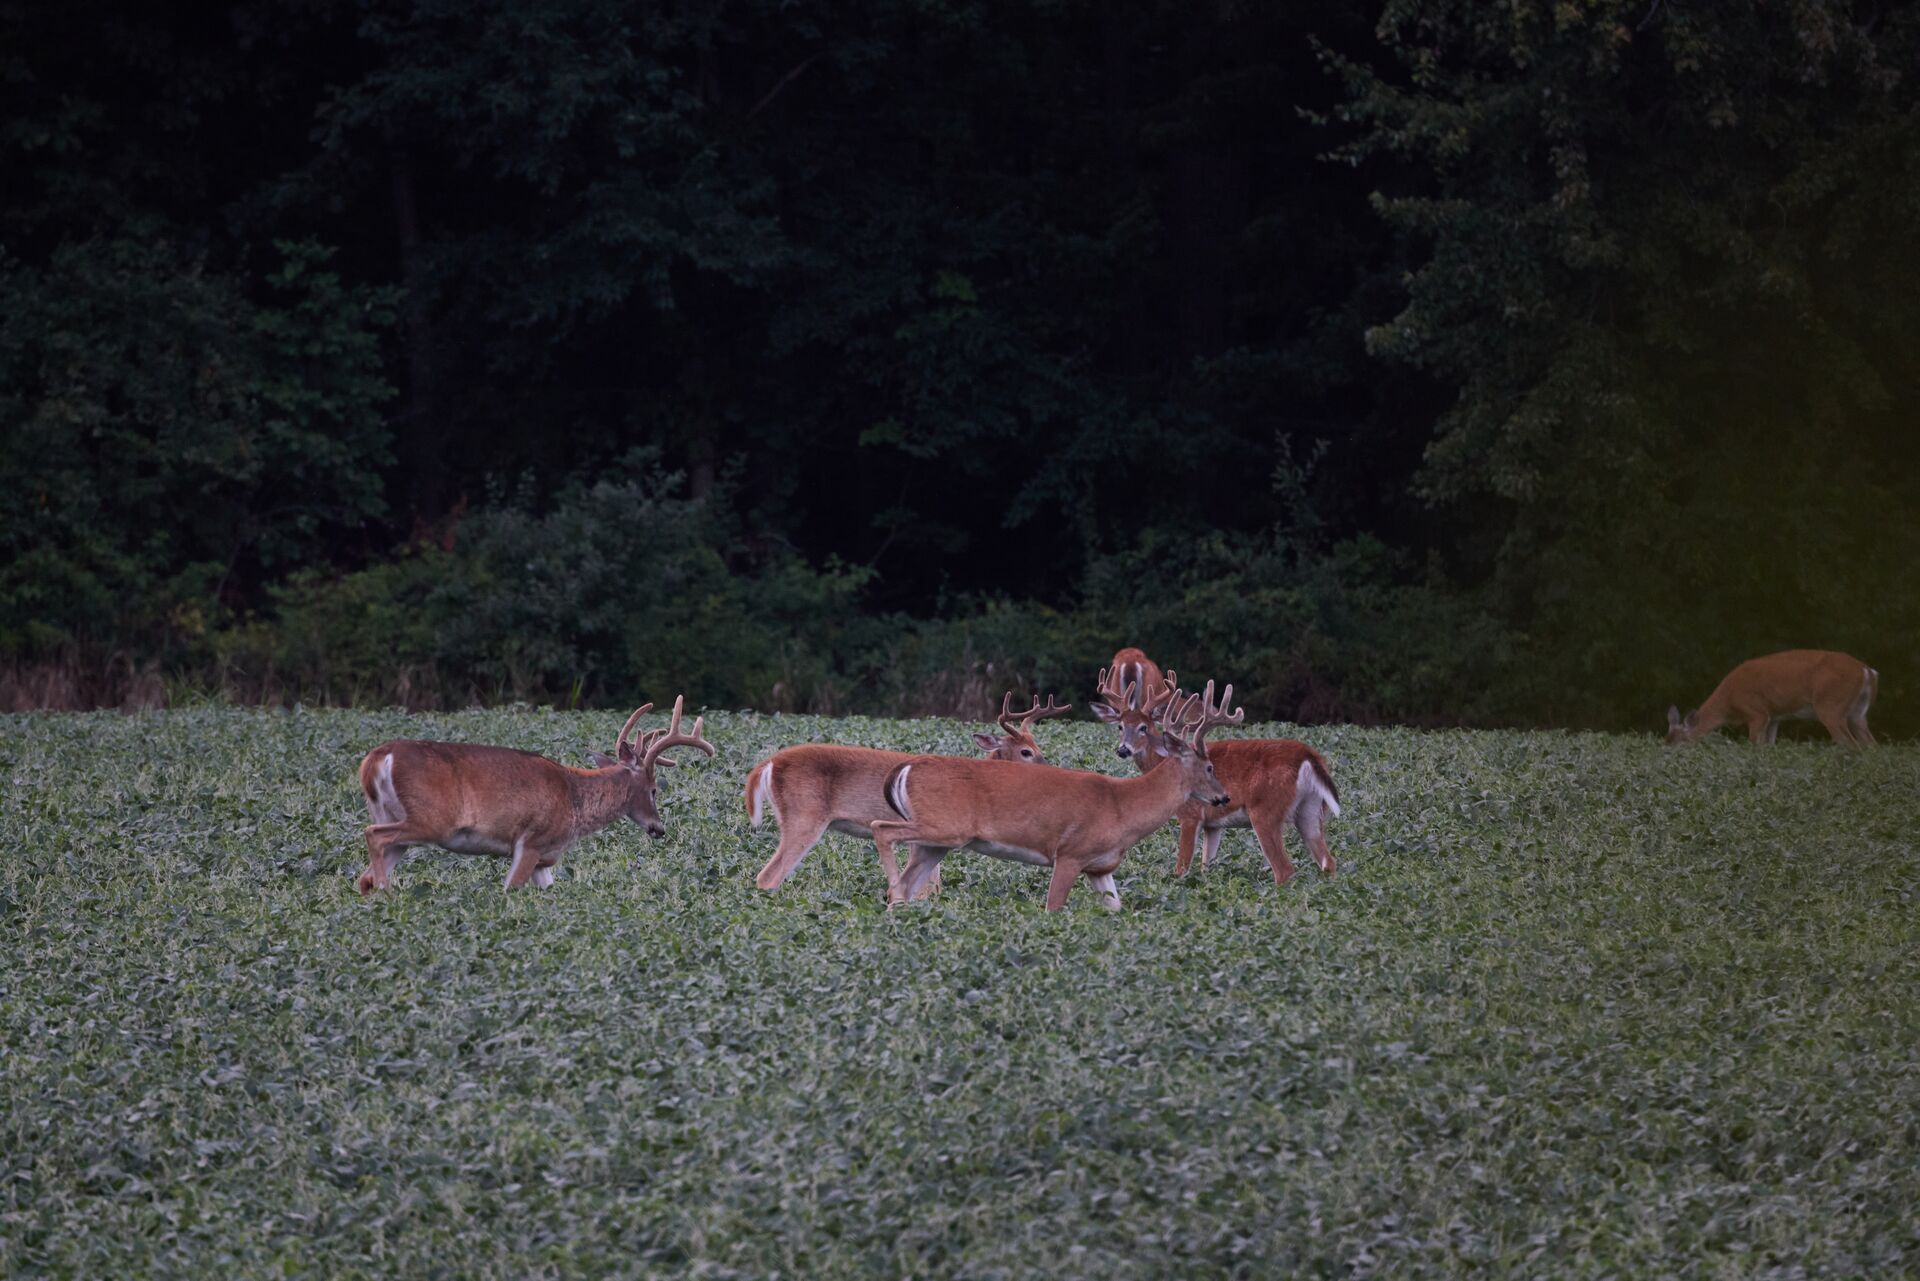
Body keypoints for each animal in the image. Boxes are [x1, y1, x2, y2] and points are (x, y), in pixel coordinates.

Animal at [356, 696, 715, 894]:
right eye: (654, 790)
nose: (659, 828)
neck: (574, 798)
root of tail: (376, 759)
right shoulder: (530, 841)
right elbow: (510, 889)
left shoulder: (545, 858)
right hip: (430, 820)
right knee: (373, 835)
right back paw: (387, 893)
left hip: (395, 821)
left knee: (365, 875)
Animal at [746, 692, 1072, 896]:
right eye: (1026, 752)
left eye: (1039, 747)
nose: (1053, 771)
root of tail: (768, 764)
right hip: (804, 816)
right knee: (768, 875)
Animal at [871, 677, 1243, 911]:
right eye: (1210, 767)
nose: (1223, 797)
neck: (1123, 805)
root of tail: (907, 766)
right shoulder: (1069, 853)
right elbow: (1053, 908)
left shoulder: (1101, 867)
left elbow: (1116, 908)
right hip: (944, 827)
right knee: (881, 829)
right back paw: (892, 889)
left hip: (937, 842)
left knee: (907, 881)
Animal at [1091, 665, 1340, 884]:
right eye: (1120, 726)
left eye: (1143, 727)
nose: (1123, 749)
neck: (1163, 763)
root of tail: (1309, 756)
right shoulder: (1213, 825)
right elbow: (1205, 865)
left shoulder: (1190, 814)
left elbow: (1182, 868)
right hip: (1310, 810)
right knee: (1328, 862)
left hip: (1265, 810)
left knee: (1284, 869)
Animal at [1667, 650, 1879, 747]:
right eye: (1665, 741)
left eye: (1681, 743)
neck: (1729, 701)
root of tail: (1867, 671)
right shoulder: (1774, 716)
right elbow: (1769, 746)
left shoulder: (1756, 713)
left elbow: (1756, 746)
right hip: (1858, 712)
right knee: (1871, 745)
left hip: (1830, 705)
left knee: (1851, 744)